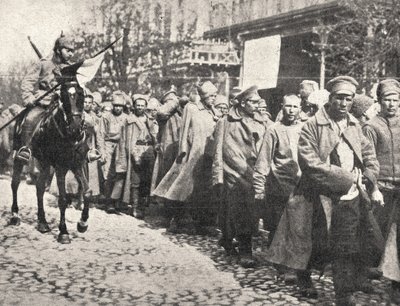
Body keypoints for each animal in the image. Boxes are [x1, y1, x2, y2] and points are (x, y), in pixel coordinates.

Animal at [9, 64, 91, 244]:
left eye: (81, 94)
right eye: (64, 95)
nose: (75, 128)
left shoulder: (77, 164)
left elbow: (87, 191)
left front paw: (82, 223)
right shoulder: (60, 167)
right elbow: (62, 199)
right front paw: (63, 232)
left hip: (45, 163)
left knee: (39, 187)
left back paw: (42, 223)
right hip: (20, 155)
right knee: (15, 183)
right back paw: (15, 215)